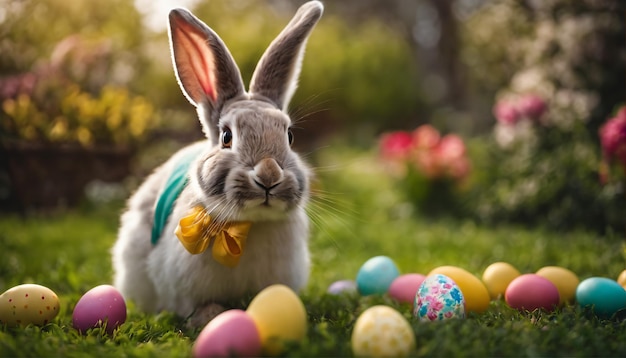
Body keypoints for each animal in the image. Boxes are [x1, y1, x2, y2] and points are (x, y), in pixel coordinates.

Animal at [111, 0, 322, 326]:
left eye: (289, 136)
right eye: (226, 137)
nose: (269, 176)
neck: (248, 225)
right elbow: (199, 307)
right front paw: (210, 318)